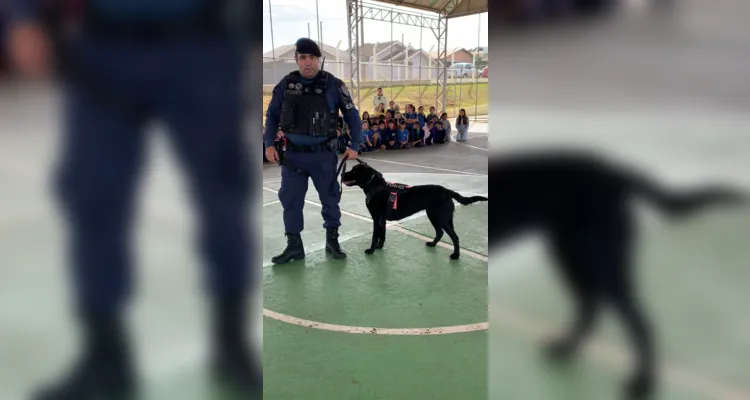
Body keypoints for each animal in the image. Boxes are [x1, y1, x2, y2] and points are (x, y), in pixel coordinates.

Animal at [344, 159, 490, 260]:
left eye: (354, 171)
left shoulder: (376, 218)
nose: (343, 174)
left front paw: (371, 250)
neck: (376, 188)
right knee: (440, 232)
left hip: (442, 218)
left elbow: (375, 236)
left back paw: (456, 255)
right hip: (433, 216)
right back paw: (432, 244)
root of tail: (446, 191)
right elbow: (382, 235)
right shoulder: (382, 219)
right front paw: (379, 247)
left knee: (455, 237)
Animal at [488, 150, 748, 400]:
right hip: (571, 255)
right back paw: (566, 349)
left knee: (640, 322)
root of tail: (616, 172)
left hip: (599, 261)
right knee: (591, 306)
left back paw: (643, 383)